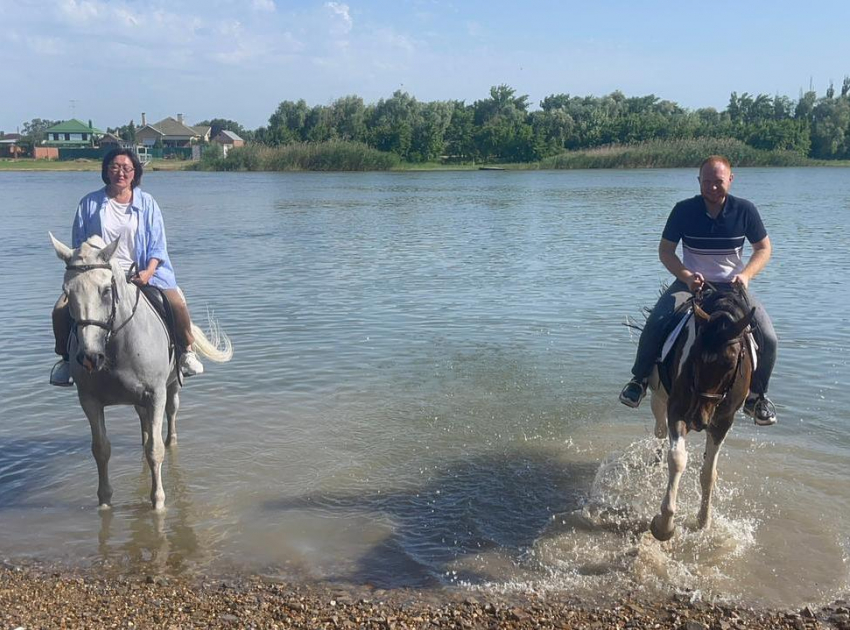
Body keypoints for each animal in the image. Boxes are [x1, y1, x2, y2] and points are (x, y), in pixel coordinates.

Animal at [52, 235, 232, 512]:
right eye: (67, 292)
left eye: (106, 290)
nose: (90, 357)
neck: (114, 346)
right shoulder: (89, 401)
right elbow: (101, 449)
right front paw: (105, 501)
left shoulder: (156, 394)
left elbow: (155, 450)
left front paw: (158, 502)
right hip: (137, 400)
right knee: (144, 424)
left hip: (172, 387)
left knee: (170, 415)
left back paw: (172, 439)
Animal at [644, 286, 756, 544]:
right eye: (693, 355)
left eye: (731, 363)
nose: (697, 419)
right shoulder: (677, 409)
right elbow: (677, 459)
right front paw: (664, 525)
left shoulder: (722, 422)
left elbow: (708, 473)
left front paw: (704, 521)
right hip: (658, 396)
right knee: (660, 429)